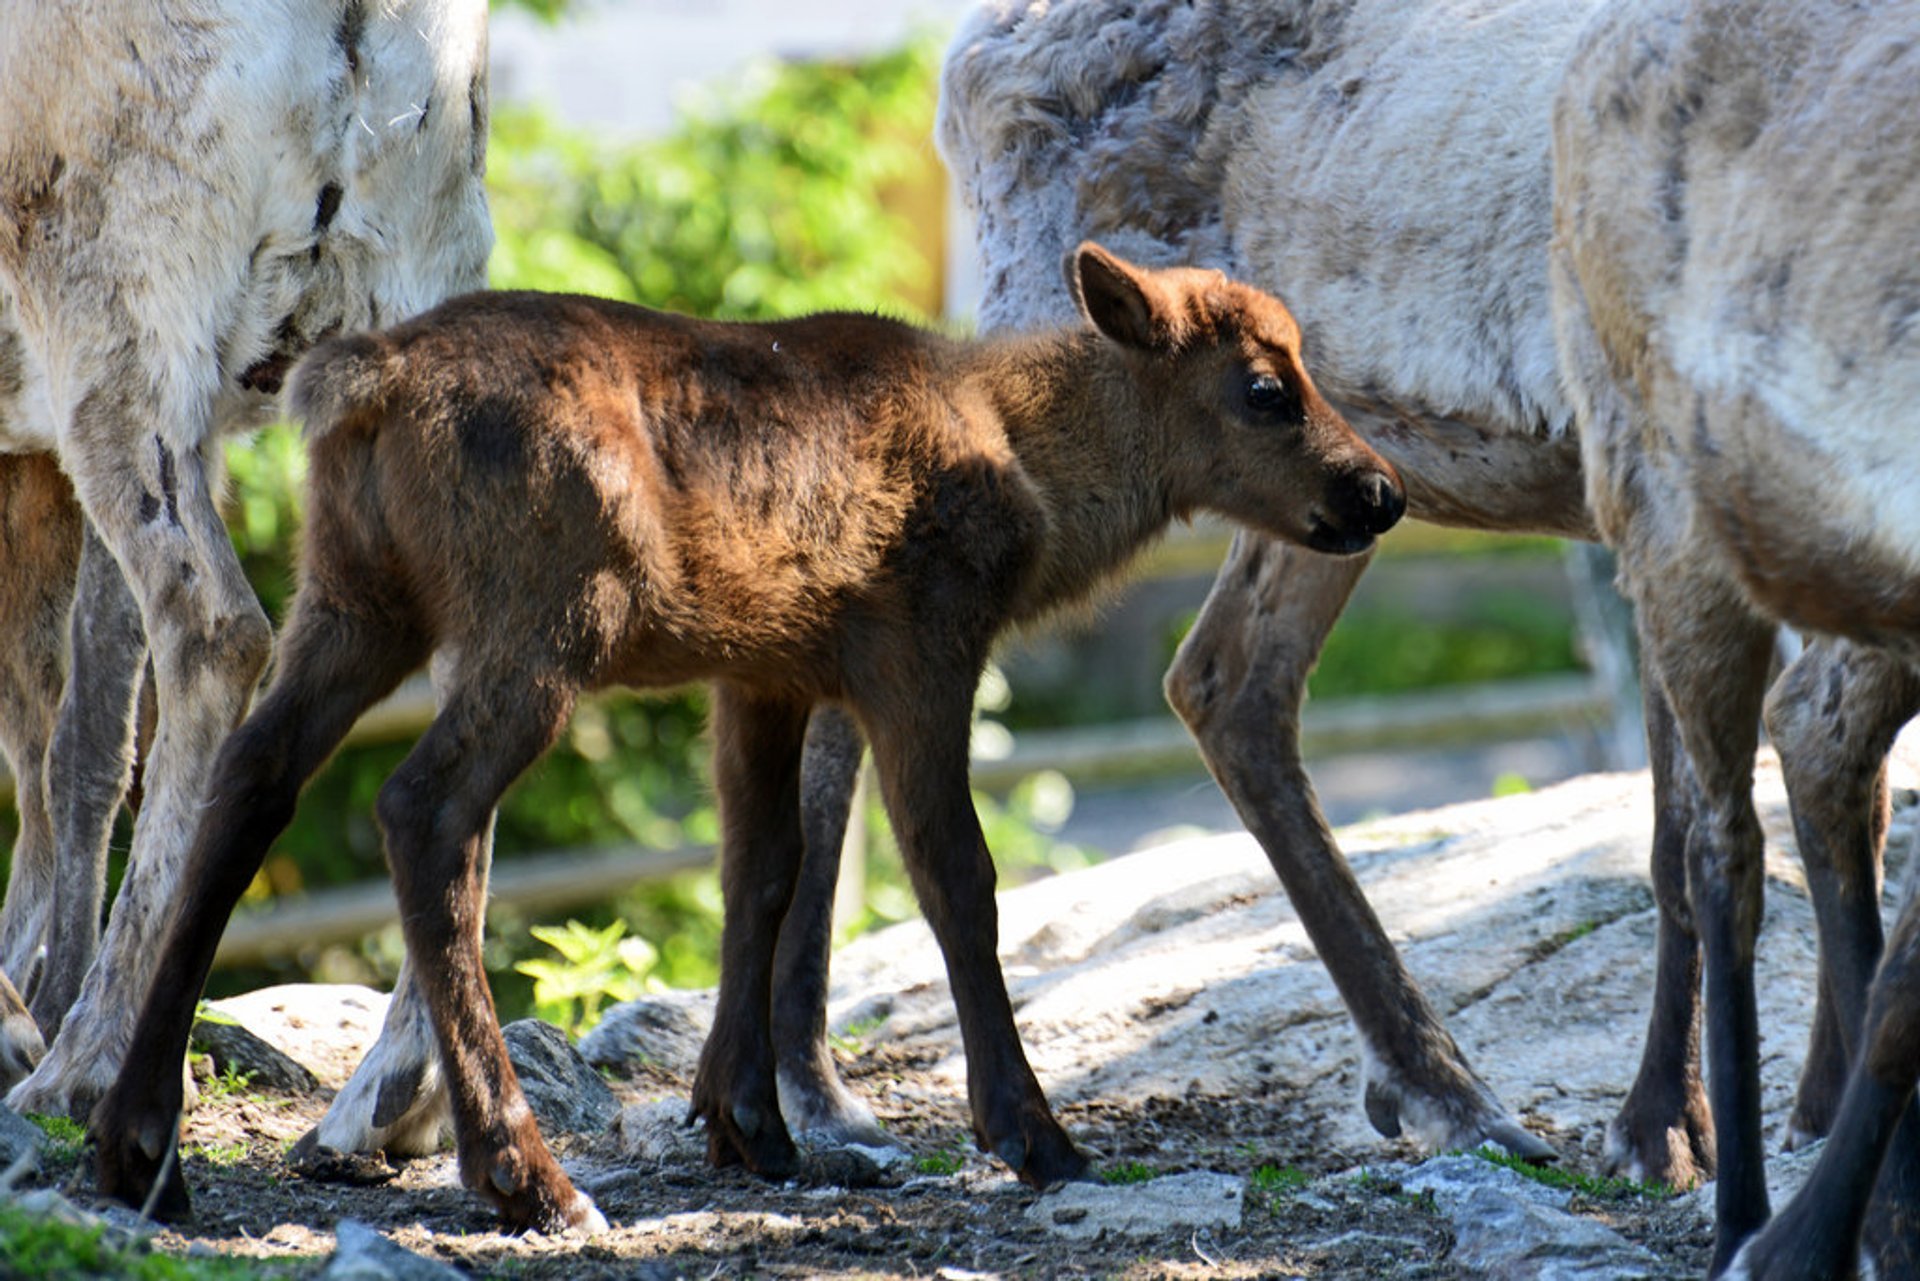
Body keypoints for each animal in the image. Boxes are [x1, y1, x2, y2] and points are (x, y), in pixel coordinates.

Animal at [90, 242, 1405, 1229]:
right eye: (1265, 388)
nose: (1380, 491)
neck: (1036, 485)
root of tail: (356, 383)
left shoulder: (763, 670)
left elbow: (760, 868)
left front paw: (746, 1122)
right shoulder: (920, 643)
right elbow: (954, 875)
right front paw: (1033, 1133)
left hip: (355, 595)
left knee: (252, 775)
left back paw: (136, 1146)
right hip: (547, 606)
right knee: (425, 811)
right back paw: (526, 1176)